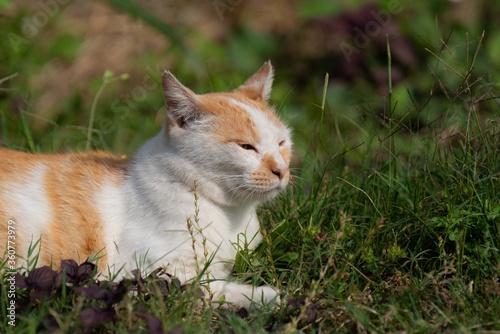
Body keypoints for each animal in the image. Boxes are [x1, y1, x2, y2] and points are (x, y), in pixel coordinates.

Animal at [0, 62, 292, 308]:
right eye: (246, 147)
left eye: (281, 142)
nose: (281, 170)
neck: (230, 213)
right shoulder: (140, 273)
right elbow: (201, 287)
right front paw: (263, 295)